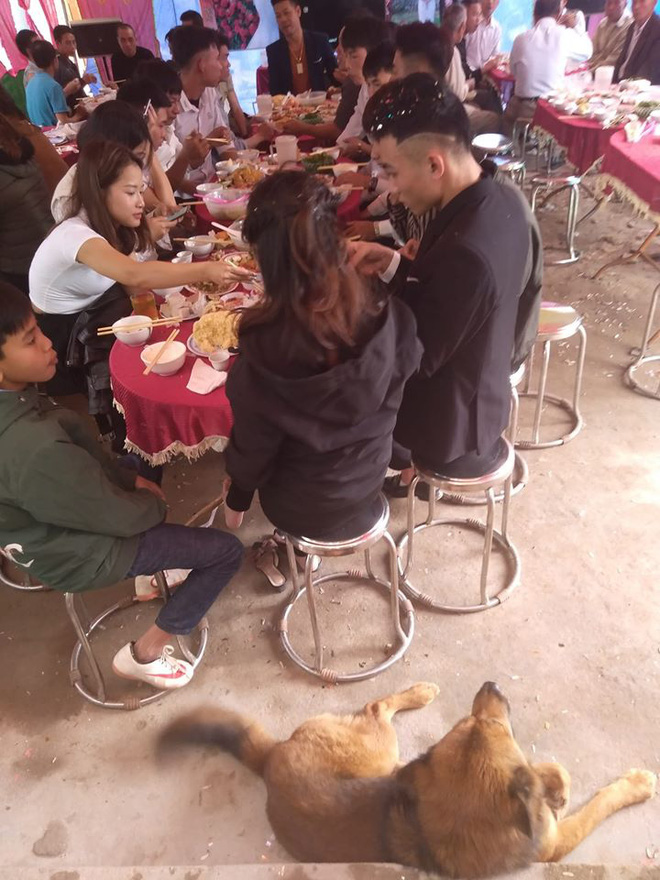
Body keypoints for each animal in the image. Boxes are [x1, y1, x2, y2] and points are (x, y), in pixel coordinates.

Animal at [159, 681, 656, 877]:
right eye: (483, 722)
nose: (491, 684)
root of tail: (269, 760)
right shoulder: (555, 845)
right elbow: (599, 802)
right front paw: (636, 784)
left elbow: (546, 770)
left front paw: (555, 785)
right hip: (381, 749)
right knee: (376, 707)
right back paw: (418, 692)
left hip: (386, 765)